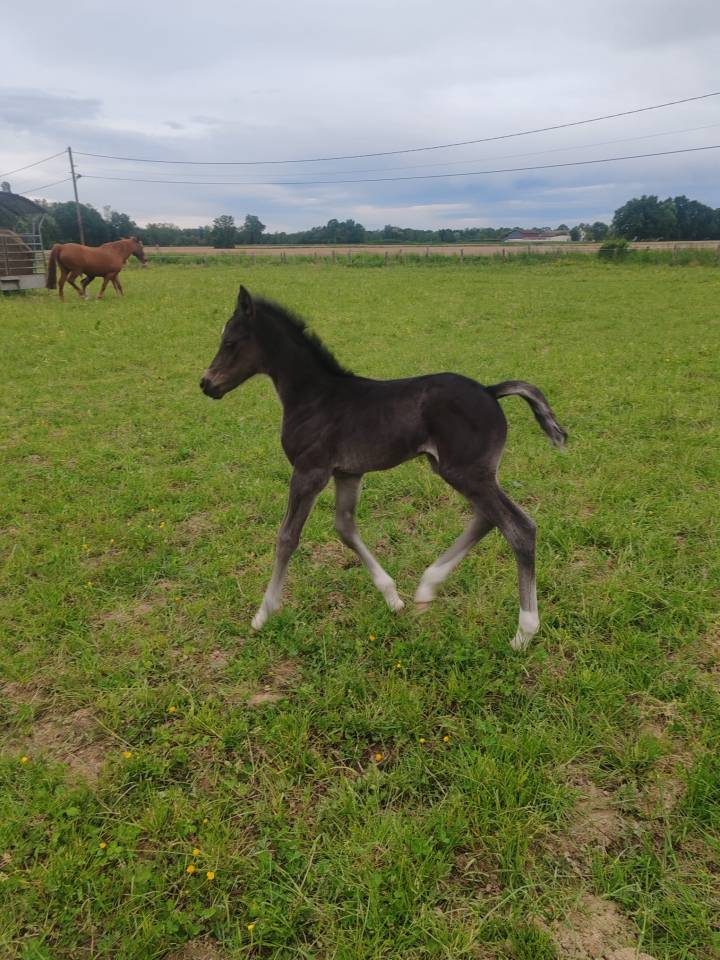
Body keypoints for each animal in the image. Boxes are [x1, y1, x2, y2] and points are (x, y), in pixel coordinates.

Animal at [200, 286, 567, 650]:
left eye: (230, 341)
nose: (206, 384)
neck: (315, 398)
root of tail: (491, 391)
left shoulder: (309, 471)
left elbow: (287, 537)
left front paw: (263, 614)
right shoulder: (347, 473)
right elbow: (345, 528)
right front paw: (393, 598)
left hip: (466, 472)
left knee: (519, 528)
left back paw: (524, 632)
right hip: (461, 471)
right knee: (488, 518)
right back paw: (427, 587)